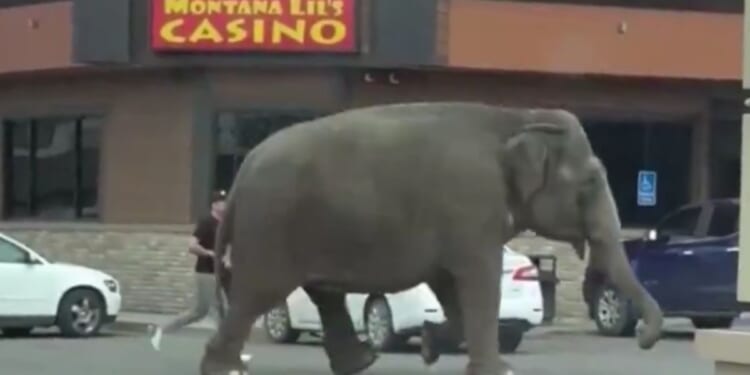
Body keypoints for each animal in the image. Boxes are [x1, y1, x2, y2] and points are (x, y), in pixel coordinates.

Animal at [200, 103, 664, 375]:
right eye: (591, 182)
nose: (642, 339)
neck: (517, 117)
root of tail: (242, 172)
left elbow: (450, 285)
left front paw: (427, 345)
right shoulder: (472, 206)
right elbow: (478, 280)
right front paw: (497, 371)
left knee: (322, 295)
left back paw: (362, 362)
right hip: (272, 227)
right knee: (258, 294)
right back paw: (225, 369)